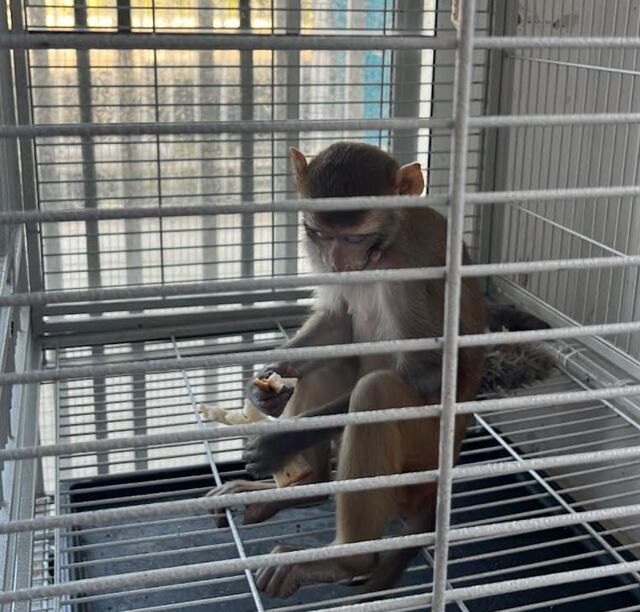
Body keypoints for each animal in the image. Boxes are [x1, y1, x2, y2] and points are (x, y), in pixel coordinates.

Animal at [208, 141, 490, 597]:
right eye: (320, 234)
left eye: (354, 236)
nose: (338, 261)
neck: (384, 252)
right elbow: (337, 322)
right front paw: (267, 387)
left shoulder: (418, 272)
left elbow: (427, 372)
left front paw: (279, 442)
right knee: (328, 368)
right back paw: (304, 488)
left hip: (420, 460)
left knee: (376, 392)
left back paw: (342, 560)